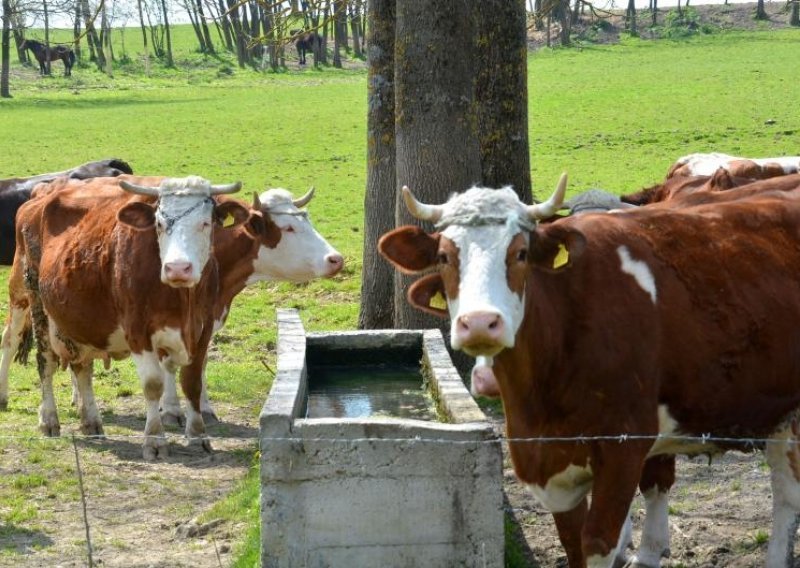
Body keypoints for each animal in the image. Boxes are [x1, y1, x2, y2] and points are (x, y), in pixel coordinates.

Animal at [8, 175, 247, 460]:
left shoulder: (203, 330)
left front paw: (199, 436)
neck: (182, 299)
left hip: (79, 321)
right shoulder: (138, 331)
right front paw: (154, 440)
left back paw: (91, 421)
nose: (178, 268)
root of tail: (38, 198)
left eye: (205, 223)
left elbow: (192, 382)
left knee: (82, 368)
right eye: (159, 224)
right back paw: (49, 420)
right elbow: (153, 384)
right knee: (46, 363)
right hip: (37, 303)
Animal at [378, 176, 800, 568]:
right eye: (445, 256)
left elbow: (599, 540)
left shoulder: (624, 445)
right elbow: (573, 544)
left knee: (785, 492)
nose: (481, 323)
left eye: (521, 252)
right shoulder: (548, 467)